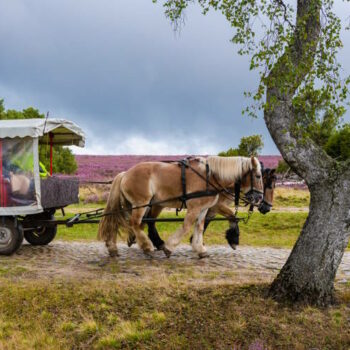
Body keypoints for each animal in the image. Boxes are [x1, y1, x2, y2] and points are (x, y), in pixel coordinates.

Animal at [98, 155, 262, 258]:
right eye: (258, 176)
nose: (259, 198)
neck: (210, 177)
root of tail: (125, 174)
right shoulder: (194, 208)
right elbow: (186, 226)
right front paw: (169, 247)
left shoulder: (203, 209)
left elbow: (199, 228)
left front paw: (200, 249)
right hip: (140, 204)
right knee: (135, 223)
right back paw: (147, 246)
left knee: (120, 222)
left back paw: (113, 247)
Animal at [139, 167, 276, 252]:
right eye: (268, 185)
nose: (267, 208)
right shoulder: (218, 205)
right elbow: (233, 216)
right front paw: (233, 239)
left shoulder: (212, 208)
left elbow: (206, 221)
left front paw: (196, 241)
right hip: (158, 203)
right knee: (150, 220)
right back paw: (157, 242)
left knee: (147, 220)